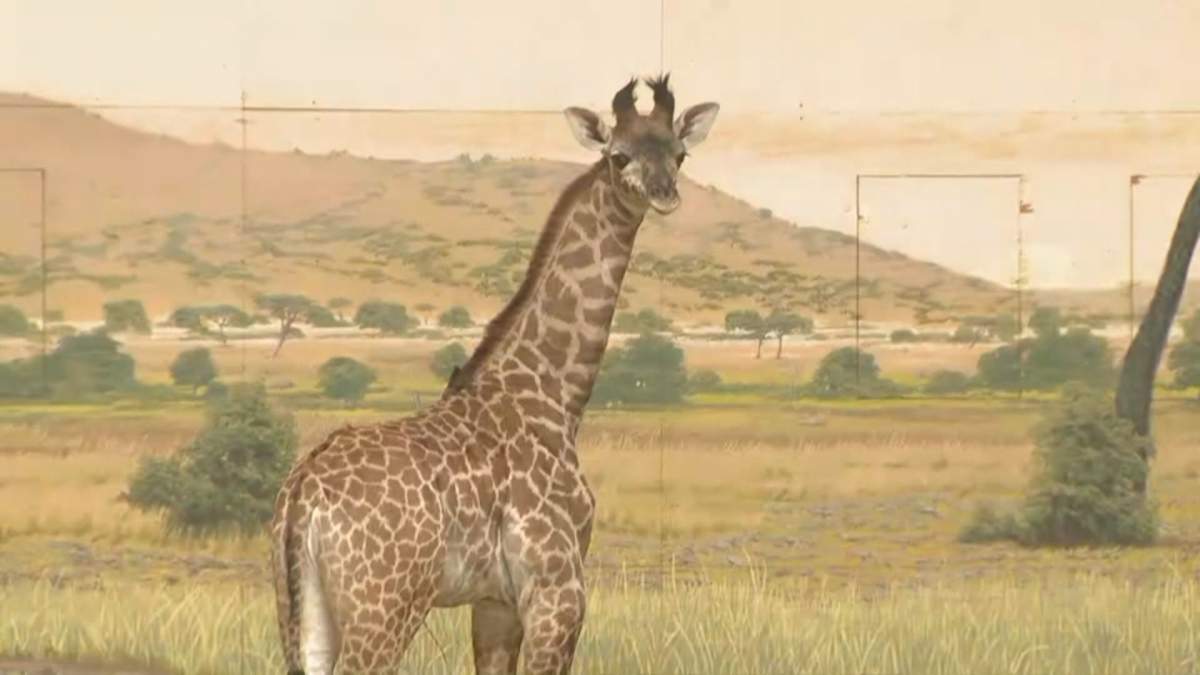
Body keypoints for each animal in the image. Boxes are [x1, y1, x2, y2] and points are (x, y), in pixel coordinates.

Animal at [270, 75, 719, 675]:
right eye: (618, 155)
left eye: (679, 153)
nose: (665, 192)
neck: (554, 394)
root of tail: (303, 495)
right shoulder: (557, 591)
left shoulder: (494, 602)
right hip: (386, 606)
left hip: (301, 606)